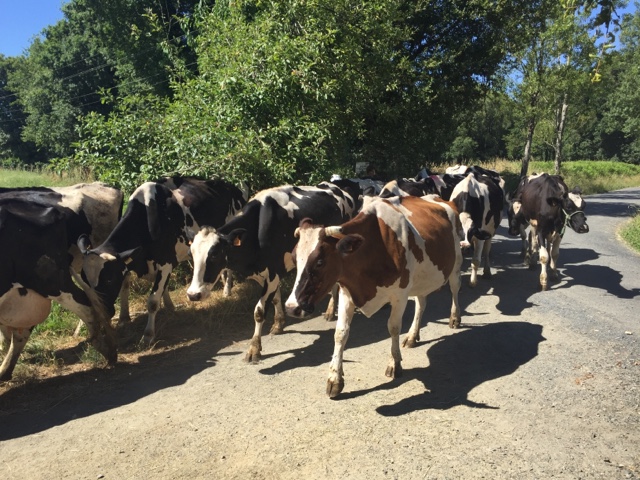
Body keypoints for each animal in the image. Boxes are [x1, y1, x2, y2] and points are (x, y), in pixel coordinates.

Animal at [78, 177, 247, 344]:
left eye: (109, 280)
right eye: (84, 281)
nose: (102, 314)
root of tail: (230, 185)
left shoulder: (165, 262)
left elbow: (152, 301)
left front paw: (148, 335)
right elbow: (135, 287)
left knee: (228, 267)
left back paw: (227, 290)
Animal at [186, 183, 361, 363]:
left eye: (214, 254)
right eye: (191, 253)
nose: (193, 294)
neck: (256, 233)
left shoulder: (271, 273)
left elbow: (259, 311)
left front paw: (254, 349)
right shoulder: (270, 273)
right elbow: (276, 299)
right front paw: (278, 324)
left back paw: (330, 310)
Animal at [284, 194, 463, 398]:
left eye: (320, 262)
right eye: (295, 259)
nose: (291, 307)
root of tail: (442, 199)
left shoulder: (400, 294)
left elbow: (393, 328)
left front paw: (394, 364)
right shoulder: (347, 292)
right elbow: (340, 333)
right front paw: (334, 379)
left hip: (456, 263)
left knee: (455, 288)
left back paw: (454, 318)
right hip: (420, 279)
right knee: (421, 303)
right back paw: (412, 335)